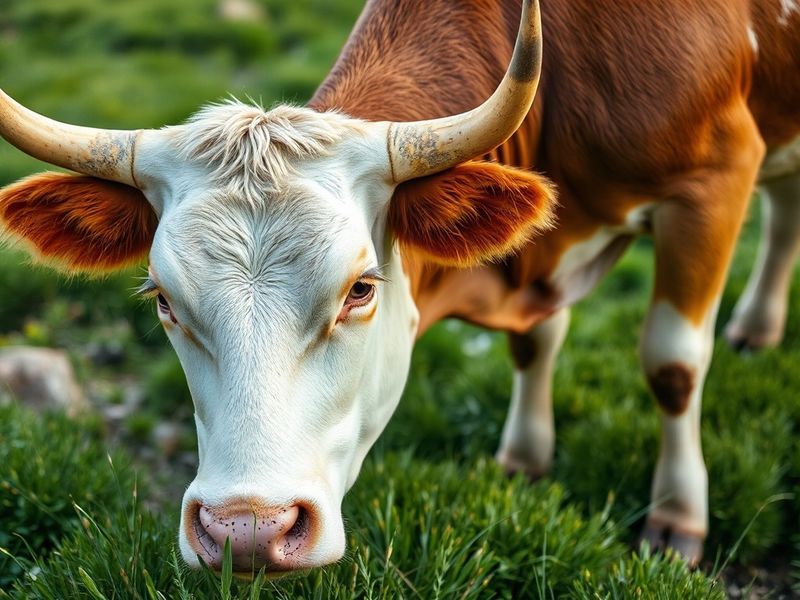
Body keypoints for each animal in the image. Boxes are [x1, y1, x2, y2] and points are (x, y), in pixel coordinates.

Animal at [1, 0, 798, 575]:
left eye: (360, 289)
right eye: (164, 301)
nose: (247, 531)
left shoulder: (714, 180)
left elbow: (671, 363)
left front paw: (678, 517)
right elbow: (537, 343)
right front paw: (525, 458)